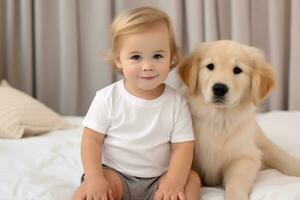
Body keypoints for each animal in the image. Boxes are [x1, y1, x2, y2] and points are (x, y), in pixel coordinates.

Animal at [178, 39, 300, 200]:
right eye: (210, 66)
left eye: (237, 70)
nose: (219, 88)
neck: (219, 119)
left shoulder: (246, 157)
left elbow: (235, 183)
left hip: (264, 143)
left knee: (282, 157)